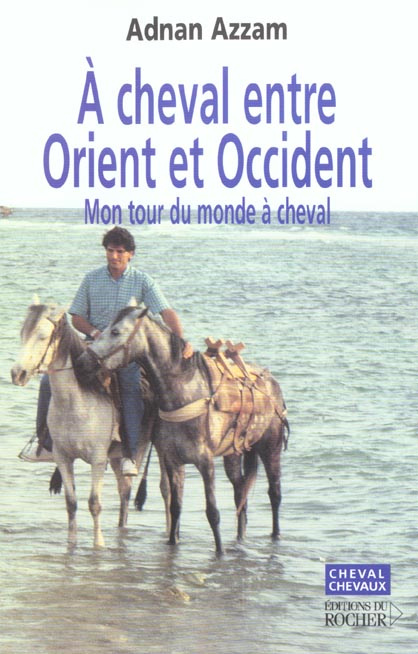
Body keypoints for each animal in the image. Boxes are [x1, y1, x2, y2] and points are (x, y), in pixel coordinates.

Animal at [10, 299, 155, 548]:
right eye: (22, 333)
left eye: (42, 335)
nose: (17, 373)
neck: (76, 404)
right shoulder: (63, 458)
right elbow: (71, 503)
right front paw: (72, 543)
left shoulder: (97, 460)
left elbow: (94, 503)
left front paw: (99, 544)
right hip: (114, 457)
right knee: (122, 493)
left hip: (134, 452)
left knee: (125, 492)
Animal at [76, 305, 289, 554]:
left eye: (116, 331)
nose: (81, 363)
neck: (184, 392)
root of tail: (272, 383)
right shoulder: (173, 460)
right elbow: (175, 506)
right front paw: (172, 544)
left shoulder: (205, 462)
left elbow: (212, 512)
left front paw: (219, 552)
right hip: (233, 455)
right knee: (240, 494)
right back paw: (240, 538)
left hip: (270, 448)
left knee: (275, 494)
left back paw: (275, 536)